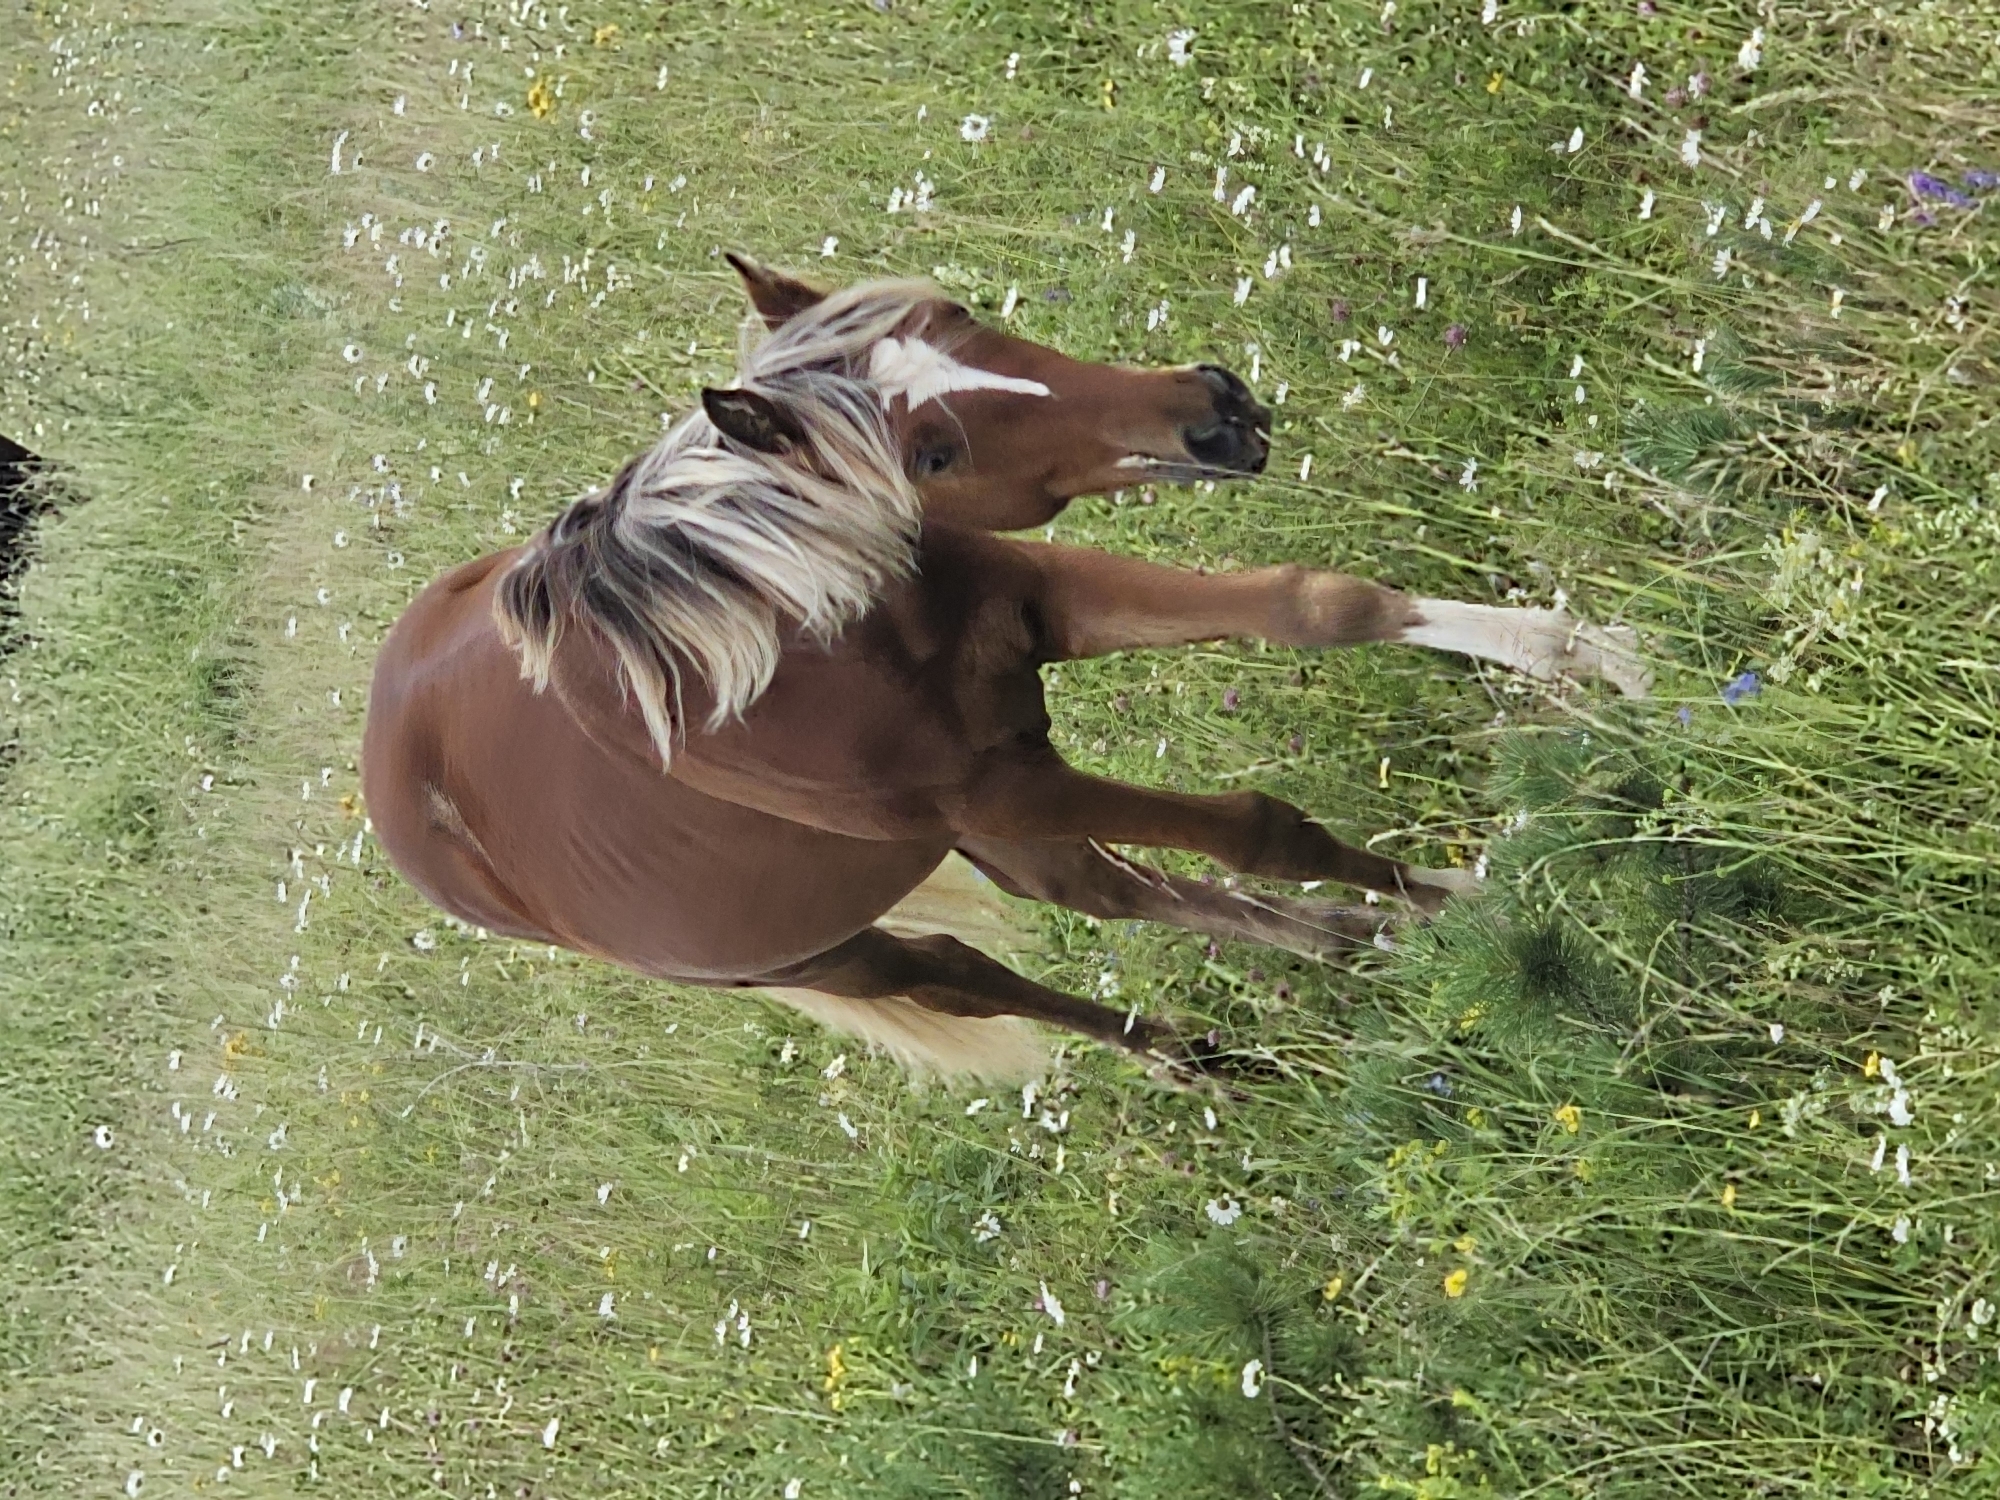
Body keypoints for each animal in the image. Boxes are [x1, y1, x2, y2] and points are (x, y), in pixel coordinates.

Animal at [361, 259, 1650, 1080]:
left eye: (959, 312)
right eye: (928, 451)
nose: (1213, 409)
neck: (799, 635)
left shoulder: (1045, 617)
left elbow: (1317, 607)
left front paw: (1589, 655)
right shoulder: (998, 783)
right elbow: (1253, 827)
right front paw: (1466, 898)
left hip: (973, 833)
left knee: (1104, 892)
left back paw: (1335, 941)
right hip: (846, 938)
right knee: (964, 973)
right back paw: (1191, 1054)